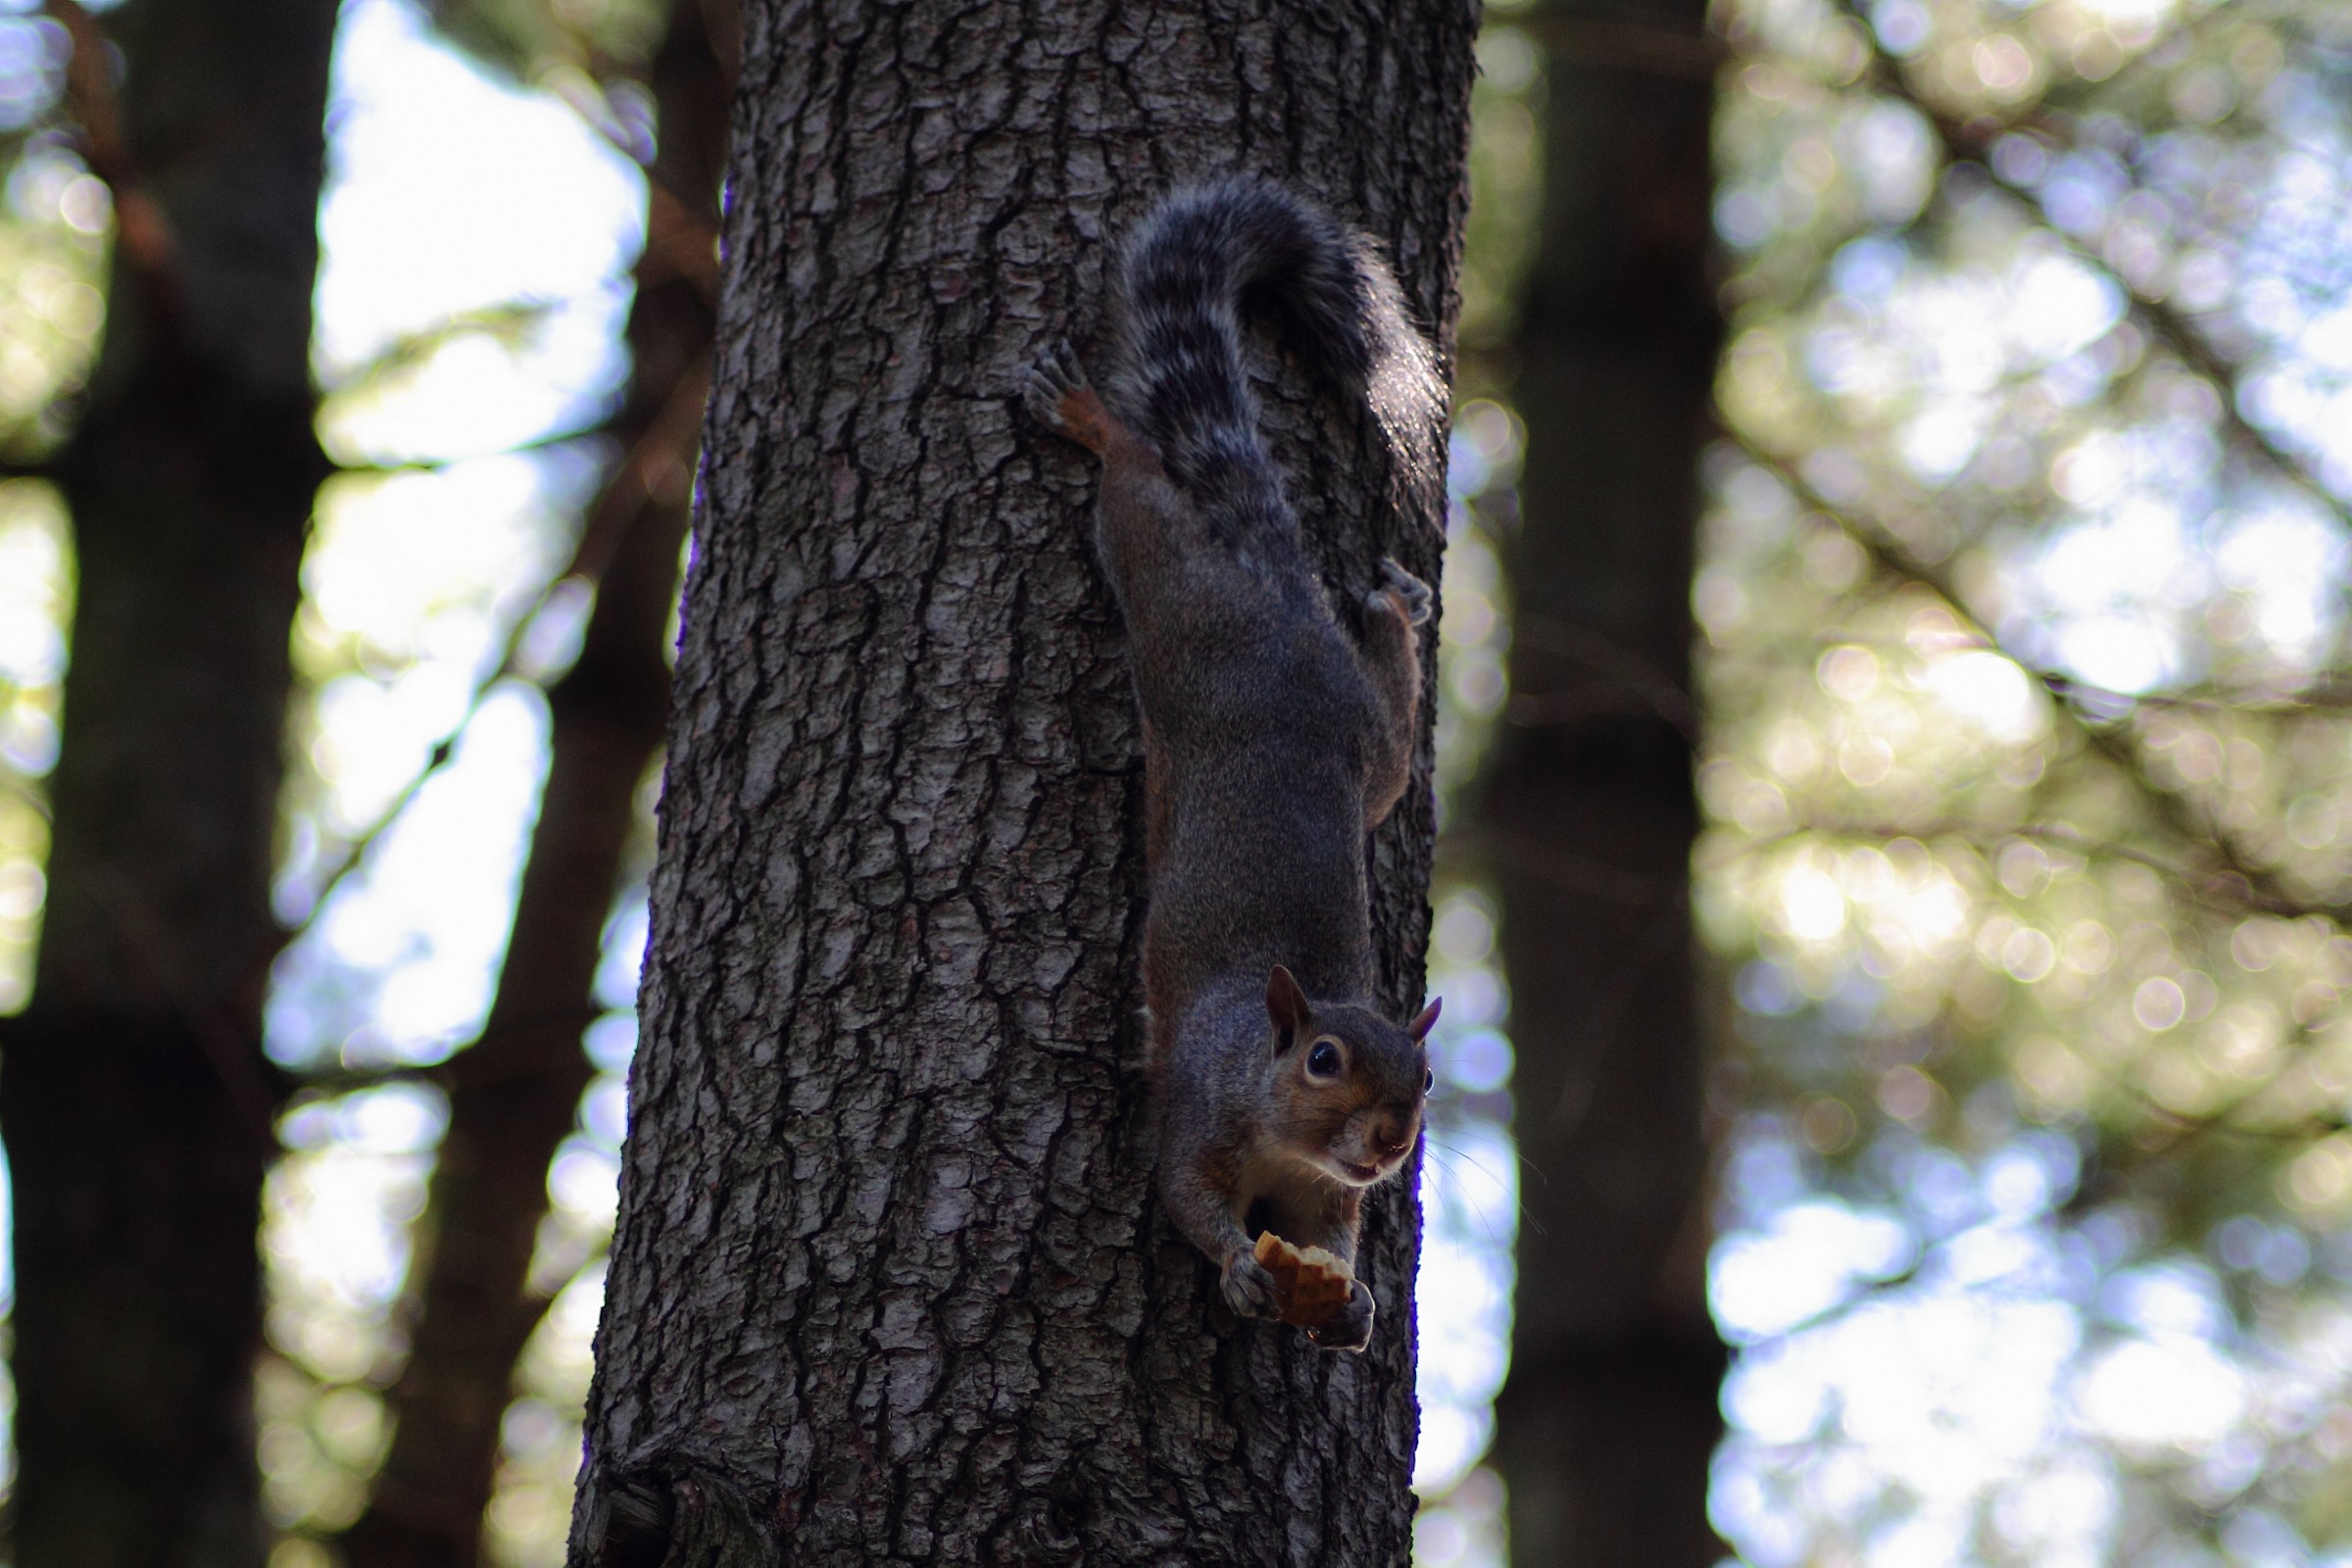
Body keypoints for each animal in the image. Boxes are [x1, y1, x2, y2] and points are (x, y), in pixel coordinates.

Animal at [1024, 180, 1445, 1353]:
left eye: (1425, 1078)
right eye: (1323, 1061)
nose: (1391, 1142)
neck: (1285, 1138)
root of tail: (1283, 609)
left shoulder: (1329, 1199)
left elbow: (1334, 1239)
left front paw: (1350, 1303)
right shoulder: (1194, 1126)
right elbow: (1188, 1202)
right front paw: (1244, 1274)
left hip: (1368, 752)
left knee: (1390, 743)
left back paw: (1393, 603)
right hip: (1171, 605)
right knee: (1138, 489)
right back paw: (1088, 417)